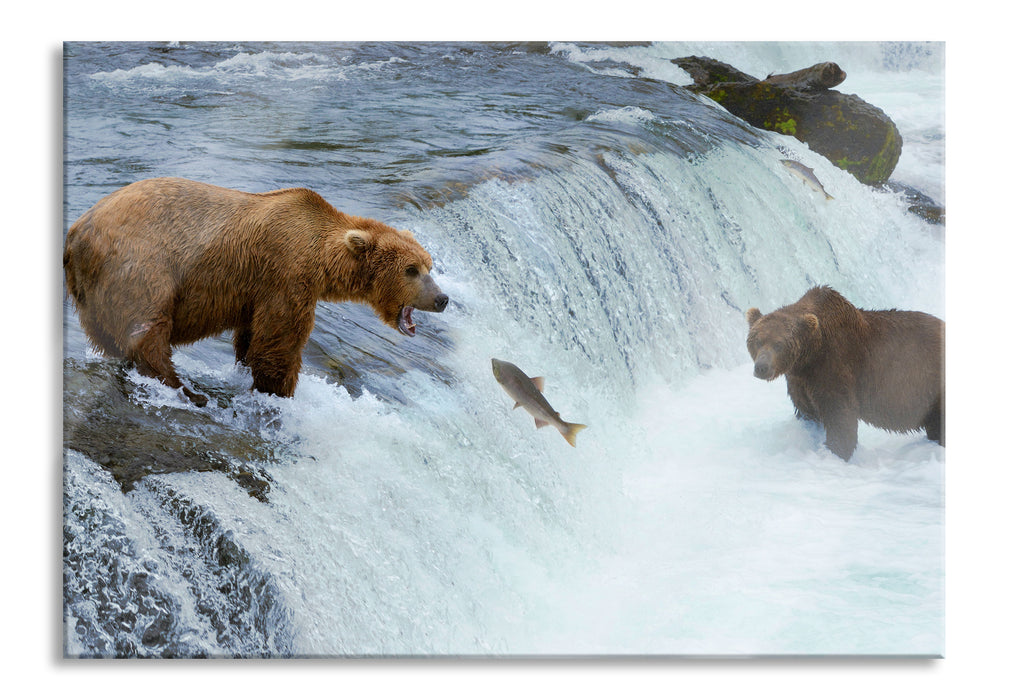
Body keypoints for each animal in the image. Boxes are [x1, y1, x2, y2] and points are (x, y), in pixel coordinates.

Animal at [63, 177, 449, 407]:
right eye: (411, 270)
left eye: (429, 265)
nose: (442, 299)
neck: (322, 258)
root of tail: (76, 232)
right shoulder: (286, 274)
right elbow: (280, 341)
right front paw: (279, 390)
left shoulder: (258, 289)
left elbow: (252, 337)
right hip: (141, 264)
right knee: (149, 330)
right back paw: (185, 389)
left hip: (93, 290)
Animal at [744, 285, 944, 460]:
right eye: (757, 341)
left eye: (778, 344)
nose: (761, 367)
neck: (810, 355)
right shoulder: (799, 380)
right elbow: (806, 410)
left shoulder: (835, 366)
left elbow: (840, 414)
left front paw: (836, 452)